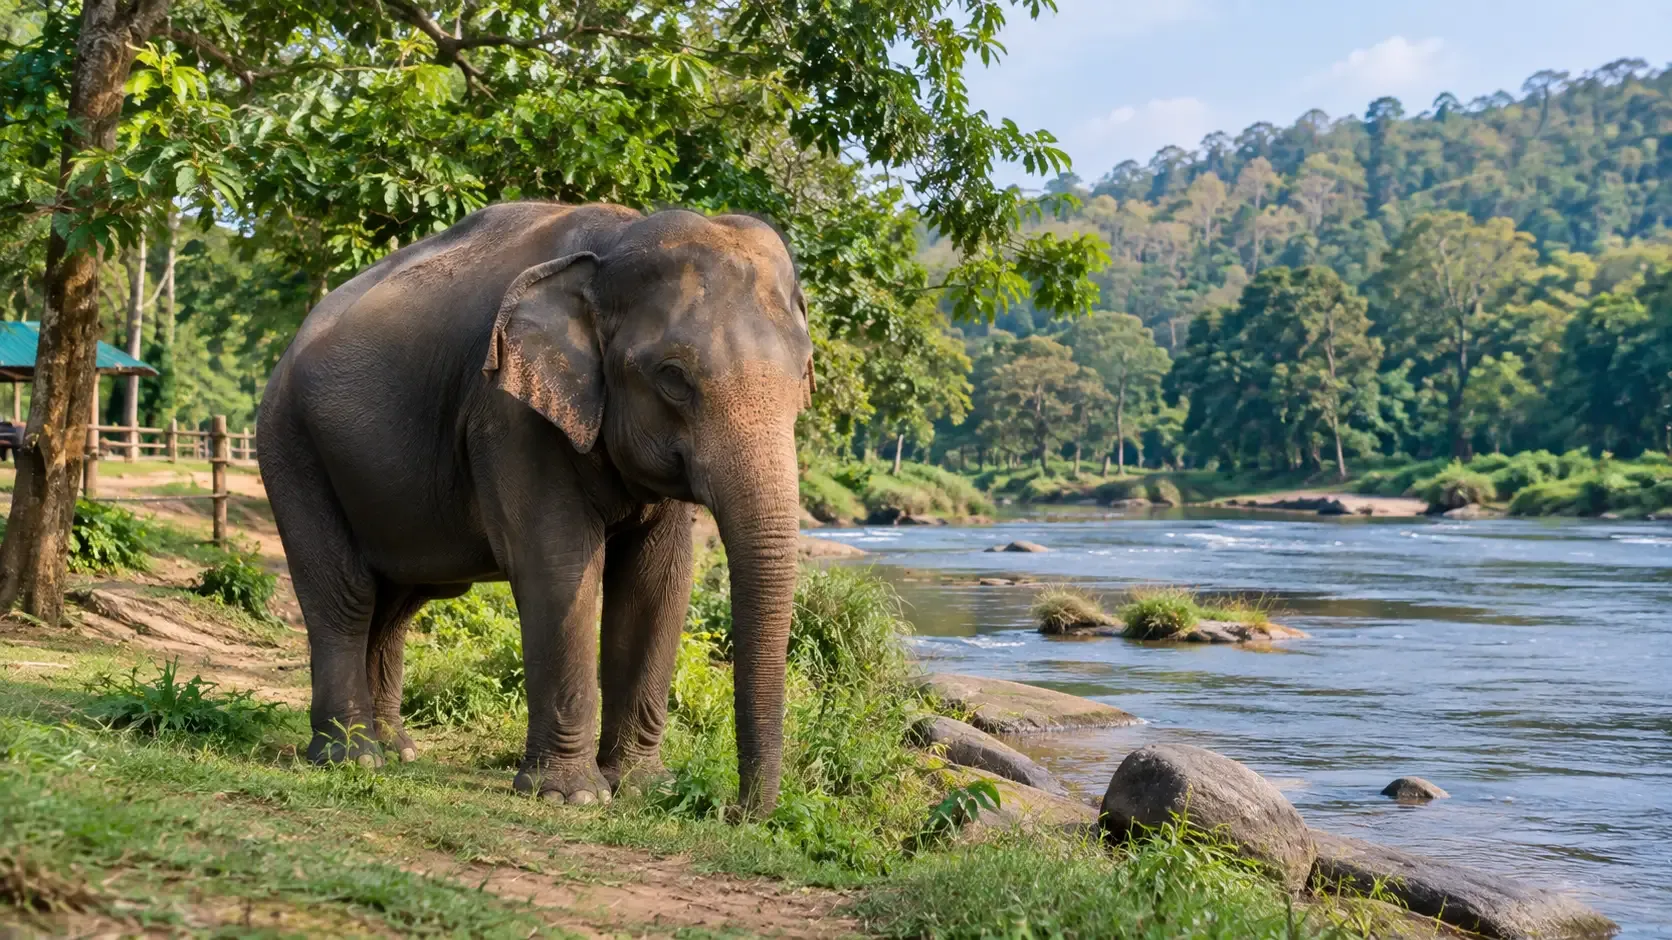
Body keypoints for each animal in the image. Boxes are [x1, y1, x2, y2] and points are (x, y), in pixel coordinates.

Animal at [257, 202, 813, 813]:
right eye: (672, 377)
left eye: (804, 374)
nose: (736, 811)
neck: (614, 240)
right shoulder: (506, 412)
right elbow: (559, 567)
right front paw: (574, 798)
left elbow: (657, 581)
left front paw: (642, 787)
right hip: (292, 446)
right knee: (347, 594)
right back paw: (352, 757)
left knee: (399, 600)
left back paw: (397, 750)